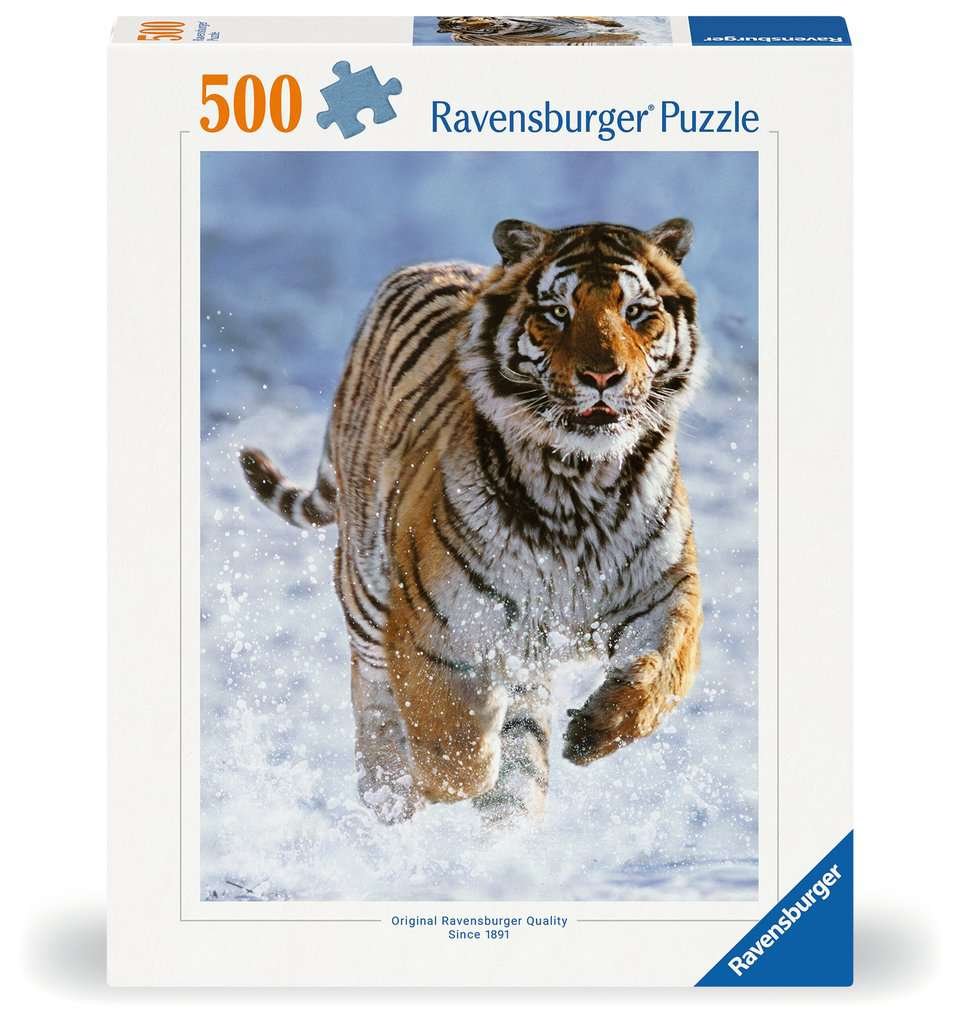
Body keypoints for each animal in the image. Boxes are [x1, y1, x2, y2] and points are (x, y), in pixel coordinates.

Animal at [240, 218, 704, 826]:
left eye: (636, 312)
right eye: (557, 313)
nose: (603, 375)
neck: (579, 482)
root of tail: (425, 265)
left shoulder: (666, 590)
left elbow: (663, 671)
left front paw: (594, 732)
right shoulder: (434, 627)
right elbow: (455, 752)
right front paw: (434, 778)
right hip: (365, 591)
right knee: (373, 697)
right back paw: (389, 794)